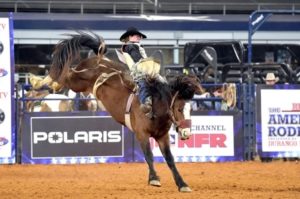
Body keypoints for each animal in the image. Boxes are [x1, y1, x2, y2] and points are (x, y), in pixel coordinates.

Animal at [49, 31, 204, 193]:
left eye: (190, 109)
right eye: (179, 108)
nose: (186, 133)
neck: (155, 107)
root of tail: (98, 59)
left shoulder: (163, 136)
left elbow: (170, 159)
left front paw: (182, 184)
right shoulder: (142, 134)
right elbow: (149, 155)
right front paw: (154, 179)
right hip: (77, 81)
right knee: (66, 74)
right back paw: (49, 81)